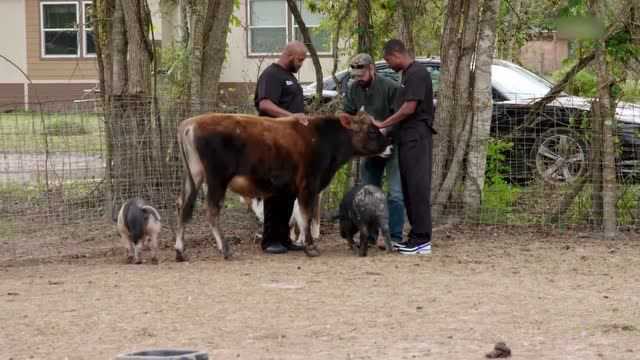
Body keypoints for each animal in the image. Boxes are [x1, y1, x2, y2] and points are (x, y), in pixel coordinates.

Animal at [172, 111, 388, 260]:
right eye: (371, 131)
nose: (390, 144)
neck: (323, 139)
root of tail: (190, 123)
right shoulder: (308, 184)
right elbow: (306, 216)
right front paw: (310, 247)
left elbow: (297, 217)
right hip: (217, 179)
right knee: (211, 211)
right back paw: (224, 249)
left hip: (192, 176)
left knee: (183, 208)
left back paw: (180, 251)